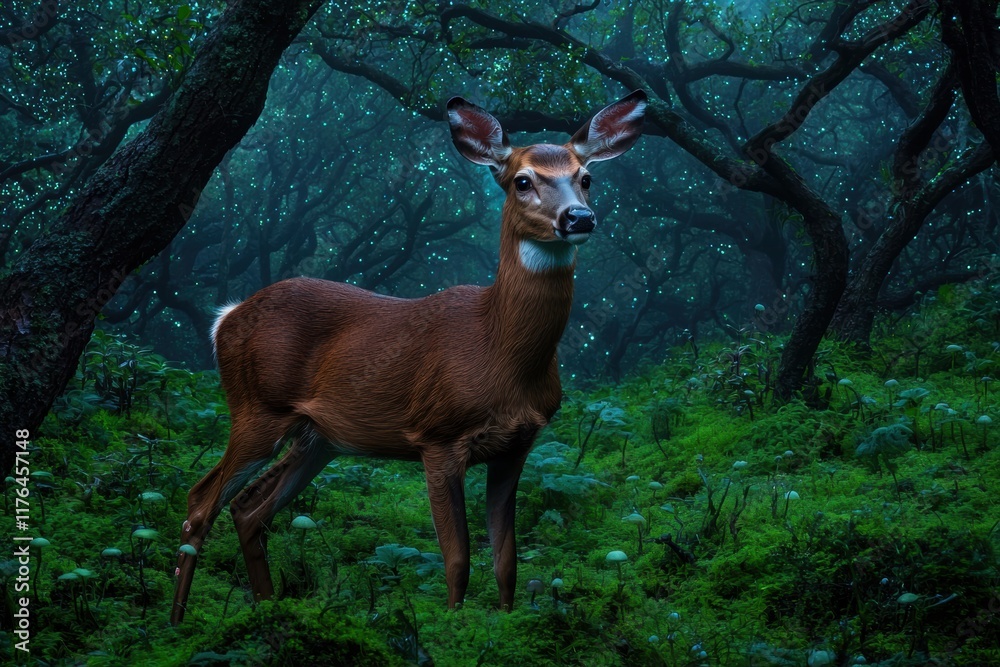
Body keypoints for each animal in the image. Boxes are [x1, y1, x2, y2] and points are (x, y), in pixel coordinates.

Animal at [169, 89, 647, 625]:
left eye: (586, 178)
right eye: (522, 180)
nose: (579, 218)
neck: (499, 351)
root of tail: (225, 319)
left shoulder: (517, 446)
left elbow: (507, 561)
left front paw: (503, 624)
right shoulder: (436, 436)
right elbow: (457, 558)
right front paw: (455, 624)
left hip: (318, 437)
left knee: (249, 509)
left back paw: (269, 610)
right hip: (257, 408)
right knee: (200, 501)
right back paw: (176, 622)